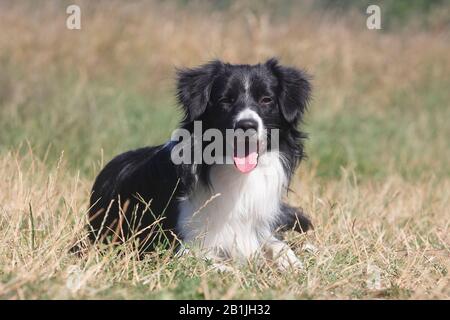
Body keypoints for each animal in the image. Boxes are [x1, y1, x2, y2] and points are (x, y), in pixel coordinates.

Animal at [88, 58, 312, 270]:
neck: (234, 173)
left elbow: (279, 245)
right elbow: (210, 262)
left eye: (266, 100)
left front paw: (294, 263)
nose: (247, 125)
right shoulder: (176, 247)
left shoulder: (260, 228)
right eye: (225, 100)